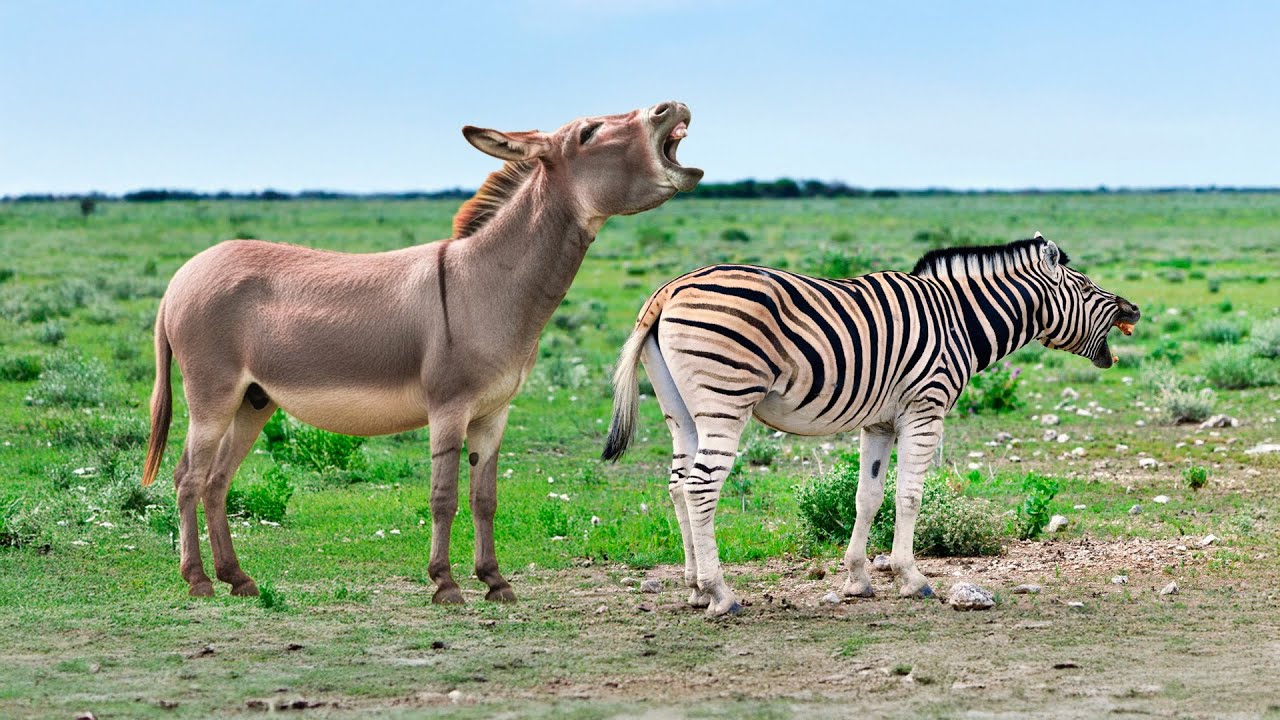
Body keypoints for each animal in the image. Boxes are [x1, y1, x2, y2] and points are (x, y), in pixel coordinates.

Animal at [602, 234, 1140, 615]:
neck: (960, 320)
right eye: (1086, 287)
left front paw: (857, 579)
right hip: (725, 399)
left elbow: (868, 496)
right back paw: (720, 593)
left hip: (680, 411)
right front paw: (912, 578)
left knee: (677, 484)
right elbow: (910, 495)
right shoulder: (925, 407)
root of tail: (669, 289)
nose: (1134, 308)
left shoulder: (878, 422)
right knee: (700, 486)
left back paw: (694, 588)